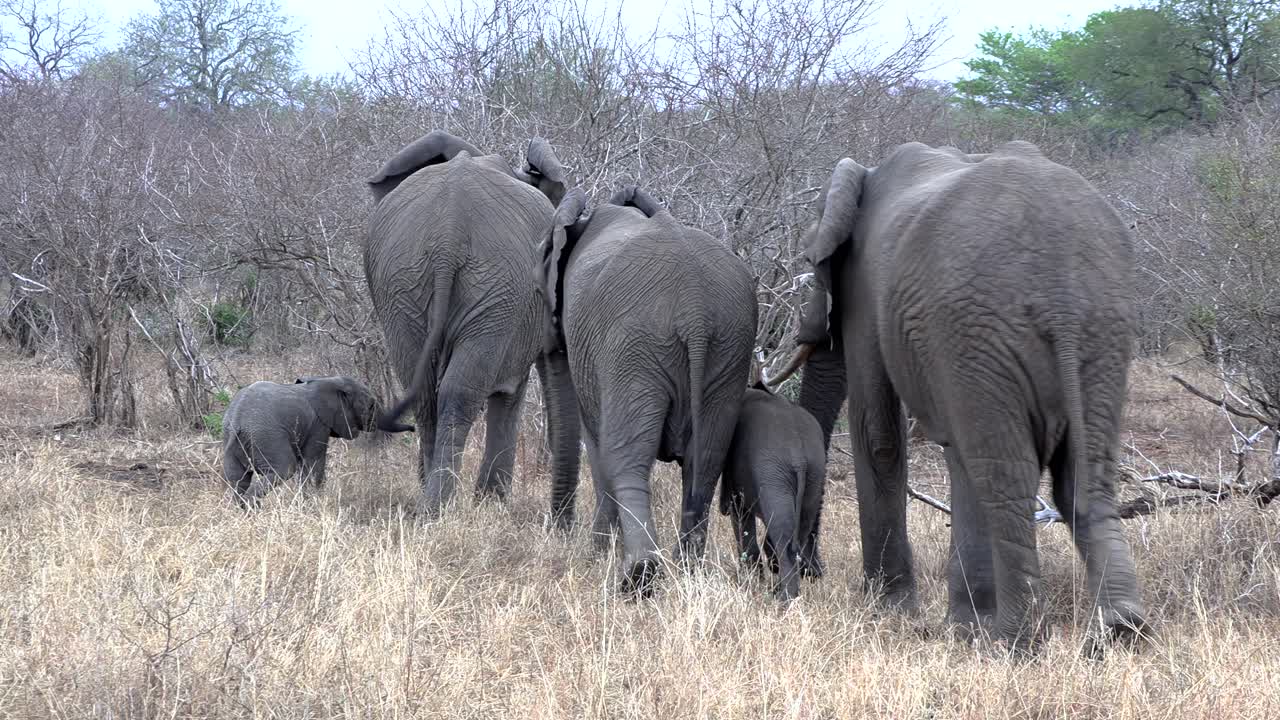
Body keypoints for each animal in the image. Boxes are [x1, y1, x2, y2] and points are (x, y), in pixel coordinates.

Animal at [222, 376, 412, 506]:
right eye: (371, 405)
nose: (413, 428)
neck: (328, 380)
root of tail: (237, 422)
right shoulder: (318, 425)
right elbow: (313, 463)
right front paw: (314, 502)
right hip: (267, 436)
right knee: (284, 469)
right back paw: (252, 507)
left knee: (238, 478)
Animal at [365, 131, 581, 520]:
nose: (559, 522)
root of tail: (448, 234)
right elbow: (510, 393)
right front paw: (491, 502)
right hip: (490, 287)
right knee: (458, 393)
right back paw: (439, 508)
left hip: (407, 282)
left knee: (426, 392)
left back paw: (429, 504)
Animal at [539, 185, 757, 594]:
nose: (558, 530)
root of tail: (695, 306)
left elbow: (597, 442)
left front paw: (597, 554)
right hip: (729, 349)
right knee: (707, 459)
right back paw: (686, 570)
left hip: (634, 347)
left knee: (625, 455)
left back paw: (638, 577)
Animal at [718, 381, 827, 601]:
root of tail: (799, 457)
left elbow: (741, 516)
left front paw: (752, 579)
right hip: (814, 473)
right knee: (800, 530)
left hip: (774, 475)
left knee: (783, 535)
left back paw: (783, 598)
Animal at [766, 141, 1148, 651]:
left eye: (812, 264)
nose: (809, 573)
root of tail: (1062, 299)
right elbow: (955, 453)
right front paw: (962, 626)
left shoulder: (868, 288)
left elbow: (878, 434)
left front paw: (891, 611)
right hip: (1097, 333)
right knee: (1080, 477)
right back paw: (1121, 630)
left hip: (984, 329)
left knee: (1005, 480)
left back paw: (1011, 642)